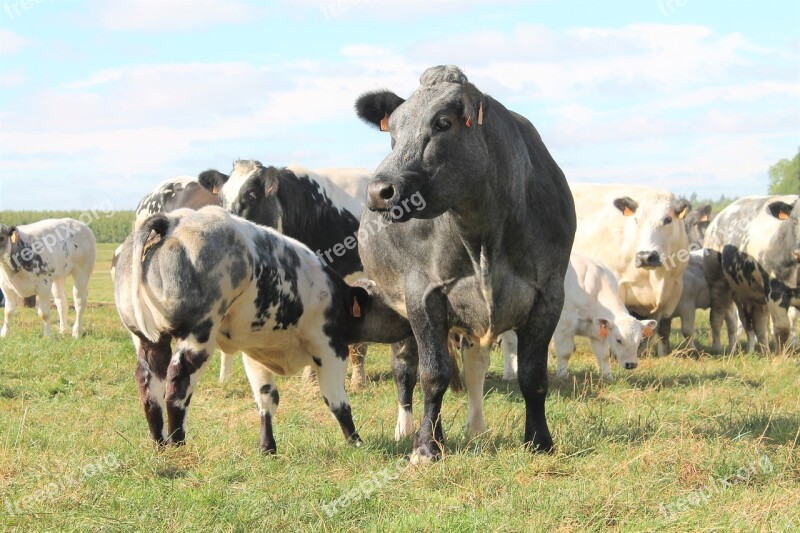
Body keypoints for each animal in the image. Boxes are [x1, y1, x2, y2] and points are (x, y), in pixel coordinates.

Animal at [112, 208, 410, 454]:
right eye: (386, 301)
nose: (409, 321)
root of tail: (173, 221)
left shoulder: (254, 353)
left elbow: (266, 398)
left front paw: (268, 447)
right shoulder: (330, 349)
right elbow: (336, 400)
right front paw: (355, 441)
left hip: (147, 341)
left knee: (149, 387)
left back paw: (160, 444)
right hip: (198, 336)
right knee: (176, 386)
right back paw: (178, 443)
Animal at [354, 64, 576, 460]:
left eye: (443, 123)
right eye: (392, 131)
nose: (379, 192)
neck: (483, 233)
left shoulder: (549, 294)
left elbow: (533, 377)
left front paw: (539, 440)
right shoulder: (422, 294)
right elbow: (433, 375)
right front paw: (426, 447)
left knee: (473, 371)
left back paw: (475, 429)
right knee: (406, 367)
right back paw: (409, 429)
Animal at [708, 193, 800, 352]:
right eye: (794, 220)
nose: (798, 251)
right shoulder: (775, 293)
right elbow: (782, 330)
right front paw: (781, 356)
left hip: (754, 294)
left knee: (758, 324)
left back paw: (764, 351)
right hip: (727, 289)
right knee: (731, 320)